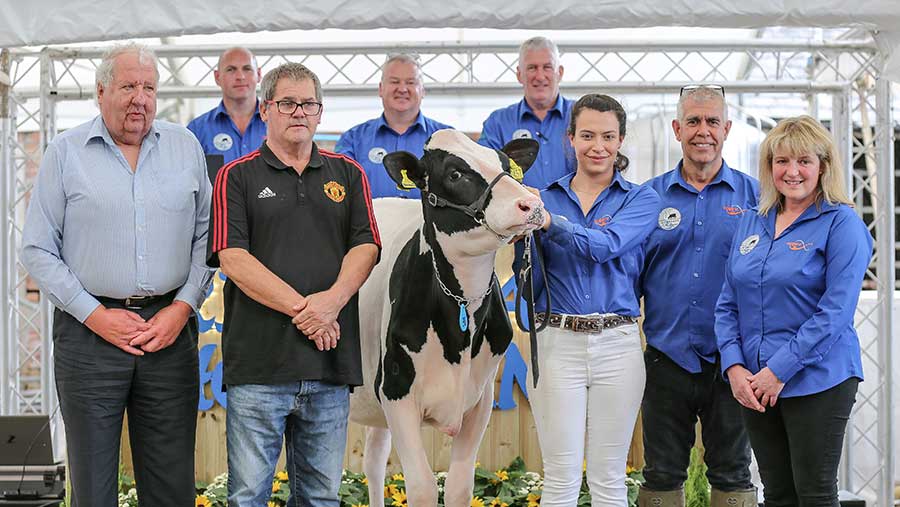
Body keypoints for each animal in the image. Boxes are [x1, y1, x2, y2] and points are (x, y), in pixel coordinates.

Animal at [350, 131, 540, 507]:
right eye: (454, 174)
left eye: (505, 164)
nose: (530, 203)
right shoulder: (397, 391)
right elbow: (422, 486)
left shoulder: (479, 399)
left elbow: (459, 486)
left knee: (374, 463)